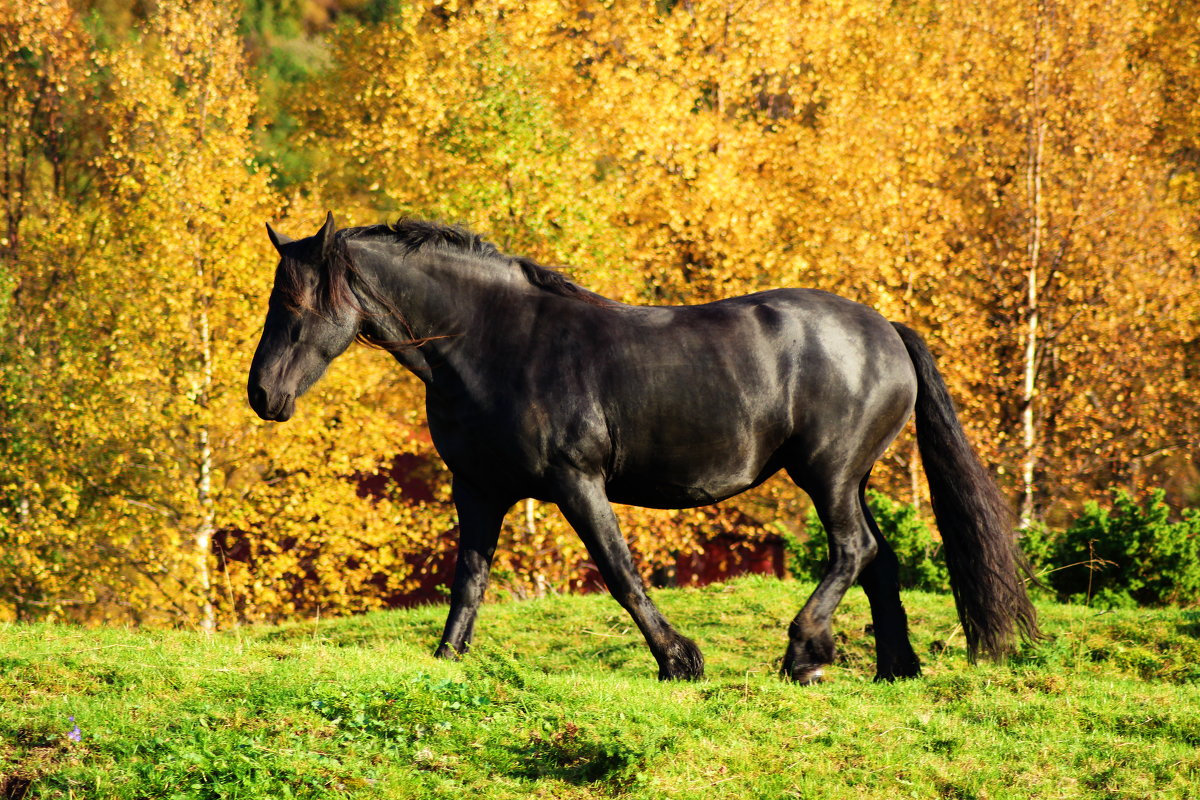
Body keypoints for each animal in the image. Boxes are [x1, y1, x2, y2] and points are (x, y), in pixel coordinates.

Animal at [248, 212, 1036, 681]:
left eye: (296, 303)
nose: (263, 395)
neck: (495, 343)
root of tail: (886, 330)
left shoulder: (577, 482)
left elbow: (620, 571)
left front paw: (679, 659)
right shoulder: (479, 489)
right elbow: (469, 578)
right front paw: (446, 660)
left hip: (828, 473)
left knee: (854, 550)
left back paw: (803, 651)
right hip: (849, 478)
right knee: (879, 558)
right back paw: (891, 667)